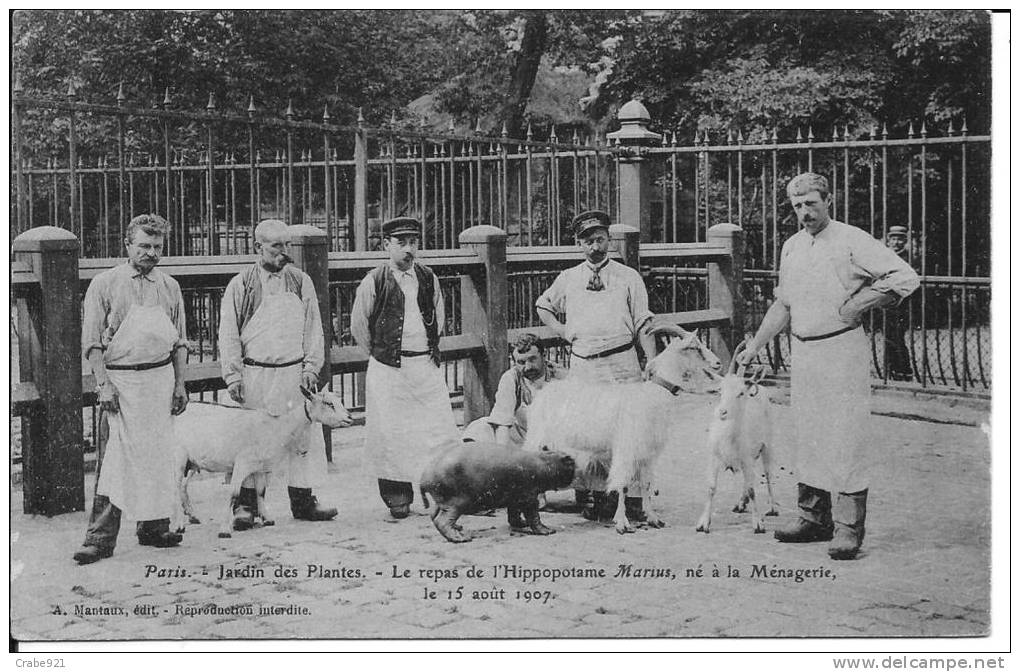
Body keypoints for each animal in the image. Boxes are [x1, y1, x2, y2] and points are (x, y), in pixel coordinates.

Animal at [172, 385, 354, 538]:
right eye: (328, 403)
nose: (349, 418)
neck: (276, 428)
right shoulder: (242, 463)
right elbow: (233, 494)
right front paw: (224, 530)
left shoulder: (260, 467)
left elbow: (260, 491)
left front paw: (267, 518)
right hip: (179, 456)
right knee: (175, 487)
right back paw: (179, 525)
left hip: (192, 461)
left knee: (182, 486)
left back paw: (192, 516)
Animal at [526, 326, 726, 534]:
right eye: (695, 347)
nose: (718, 363)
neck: (652, 395)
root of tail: (542, 392)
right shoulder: (626, 450)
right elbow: (622, 485)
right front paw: (622, 523)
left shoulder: (647, 453)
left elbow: (645, 483)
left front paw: (653, 519)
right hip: (536, 438)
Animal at [697, 356, 775, 534]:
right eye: (720, 391)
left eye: (741, 393)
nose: (722, 412)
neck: (728, 438)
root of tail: (759, 386)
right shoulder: (714, 457)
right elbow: (711, 487)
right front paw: (703, 523)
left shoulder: (747, 458)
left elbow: (753, 490)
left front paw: (758, 524)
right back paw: (740, 503)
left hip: (768, 445)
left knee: (768, 474)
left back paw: (773, 507)